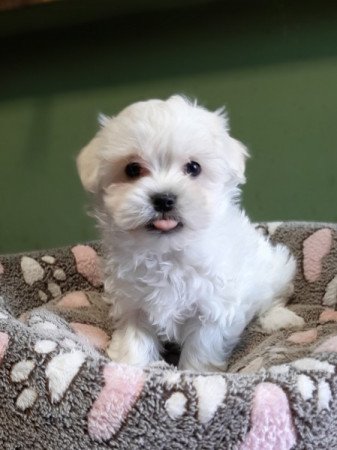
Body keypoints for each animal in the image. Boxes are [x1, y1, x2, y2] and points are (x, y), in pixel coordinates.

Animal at [77, 94, 304, 370]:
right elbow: (135, 337)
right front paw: (128, 367)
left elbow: (202, 345)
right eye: (132, 169)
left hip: (276, 268)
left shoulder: (214, 307)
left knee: (273, 298)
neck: (168, 253)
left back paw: (280, 318)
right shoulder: (132, 303)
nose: (164, 199)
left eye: (194, 168)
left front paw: (197, 372)